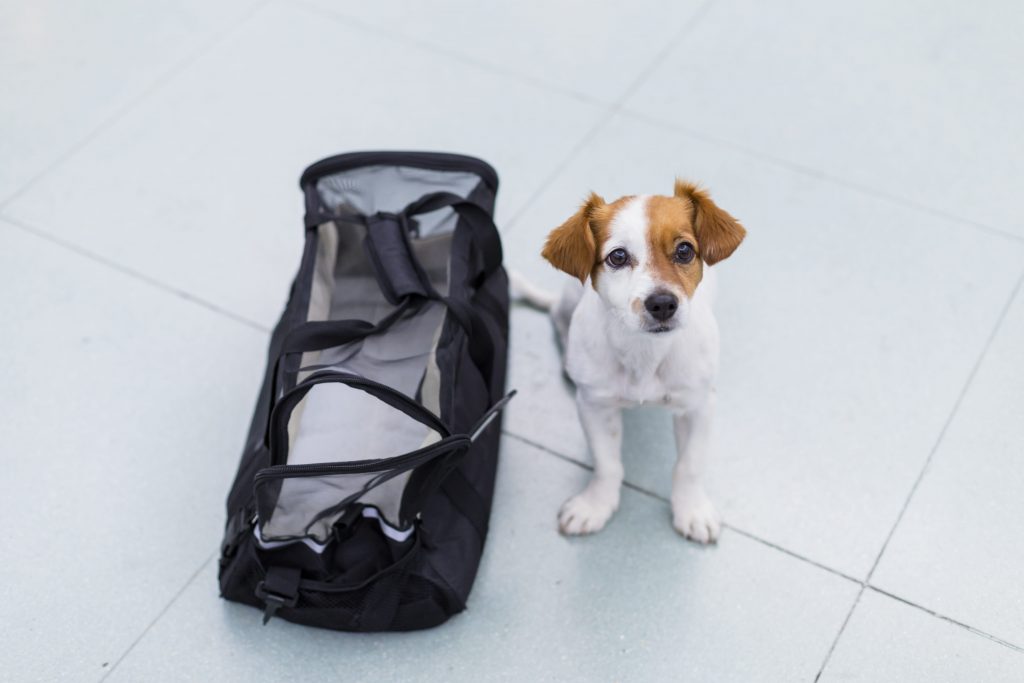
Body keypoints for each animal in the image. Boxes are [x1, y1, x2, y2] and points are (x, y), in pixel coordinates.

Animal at [512, 180, 745, 544]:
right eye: (618, 257)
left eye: (684, 250)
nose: (662, 304)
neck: (645, 353)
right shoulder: (595, 406)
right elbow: (607, 464)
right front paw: (596, 504)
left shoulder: (698, 405)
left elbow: (689, 465)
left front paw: (691, 509)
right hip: (569, 298)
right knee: (556, 315)